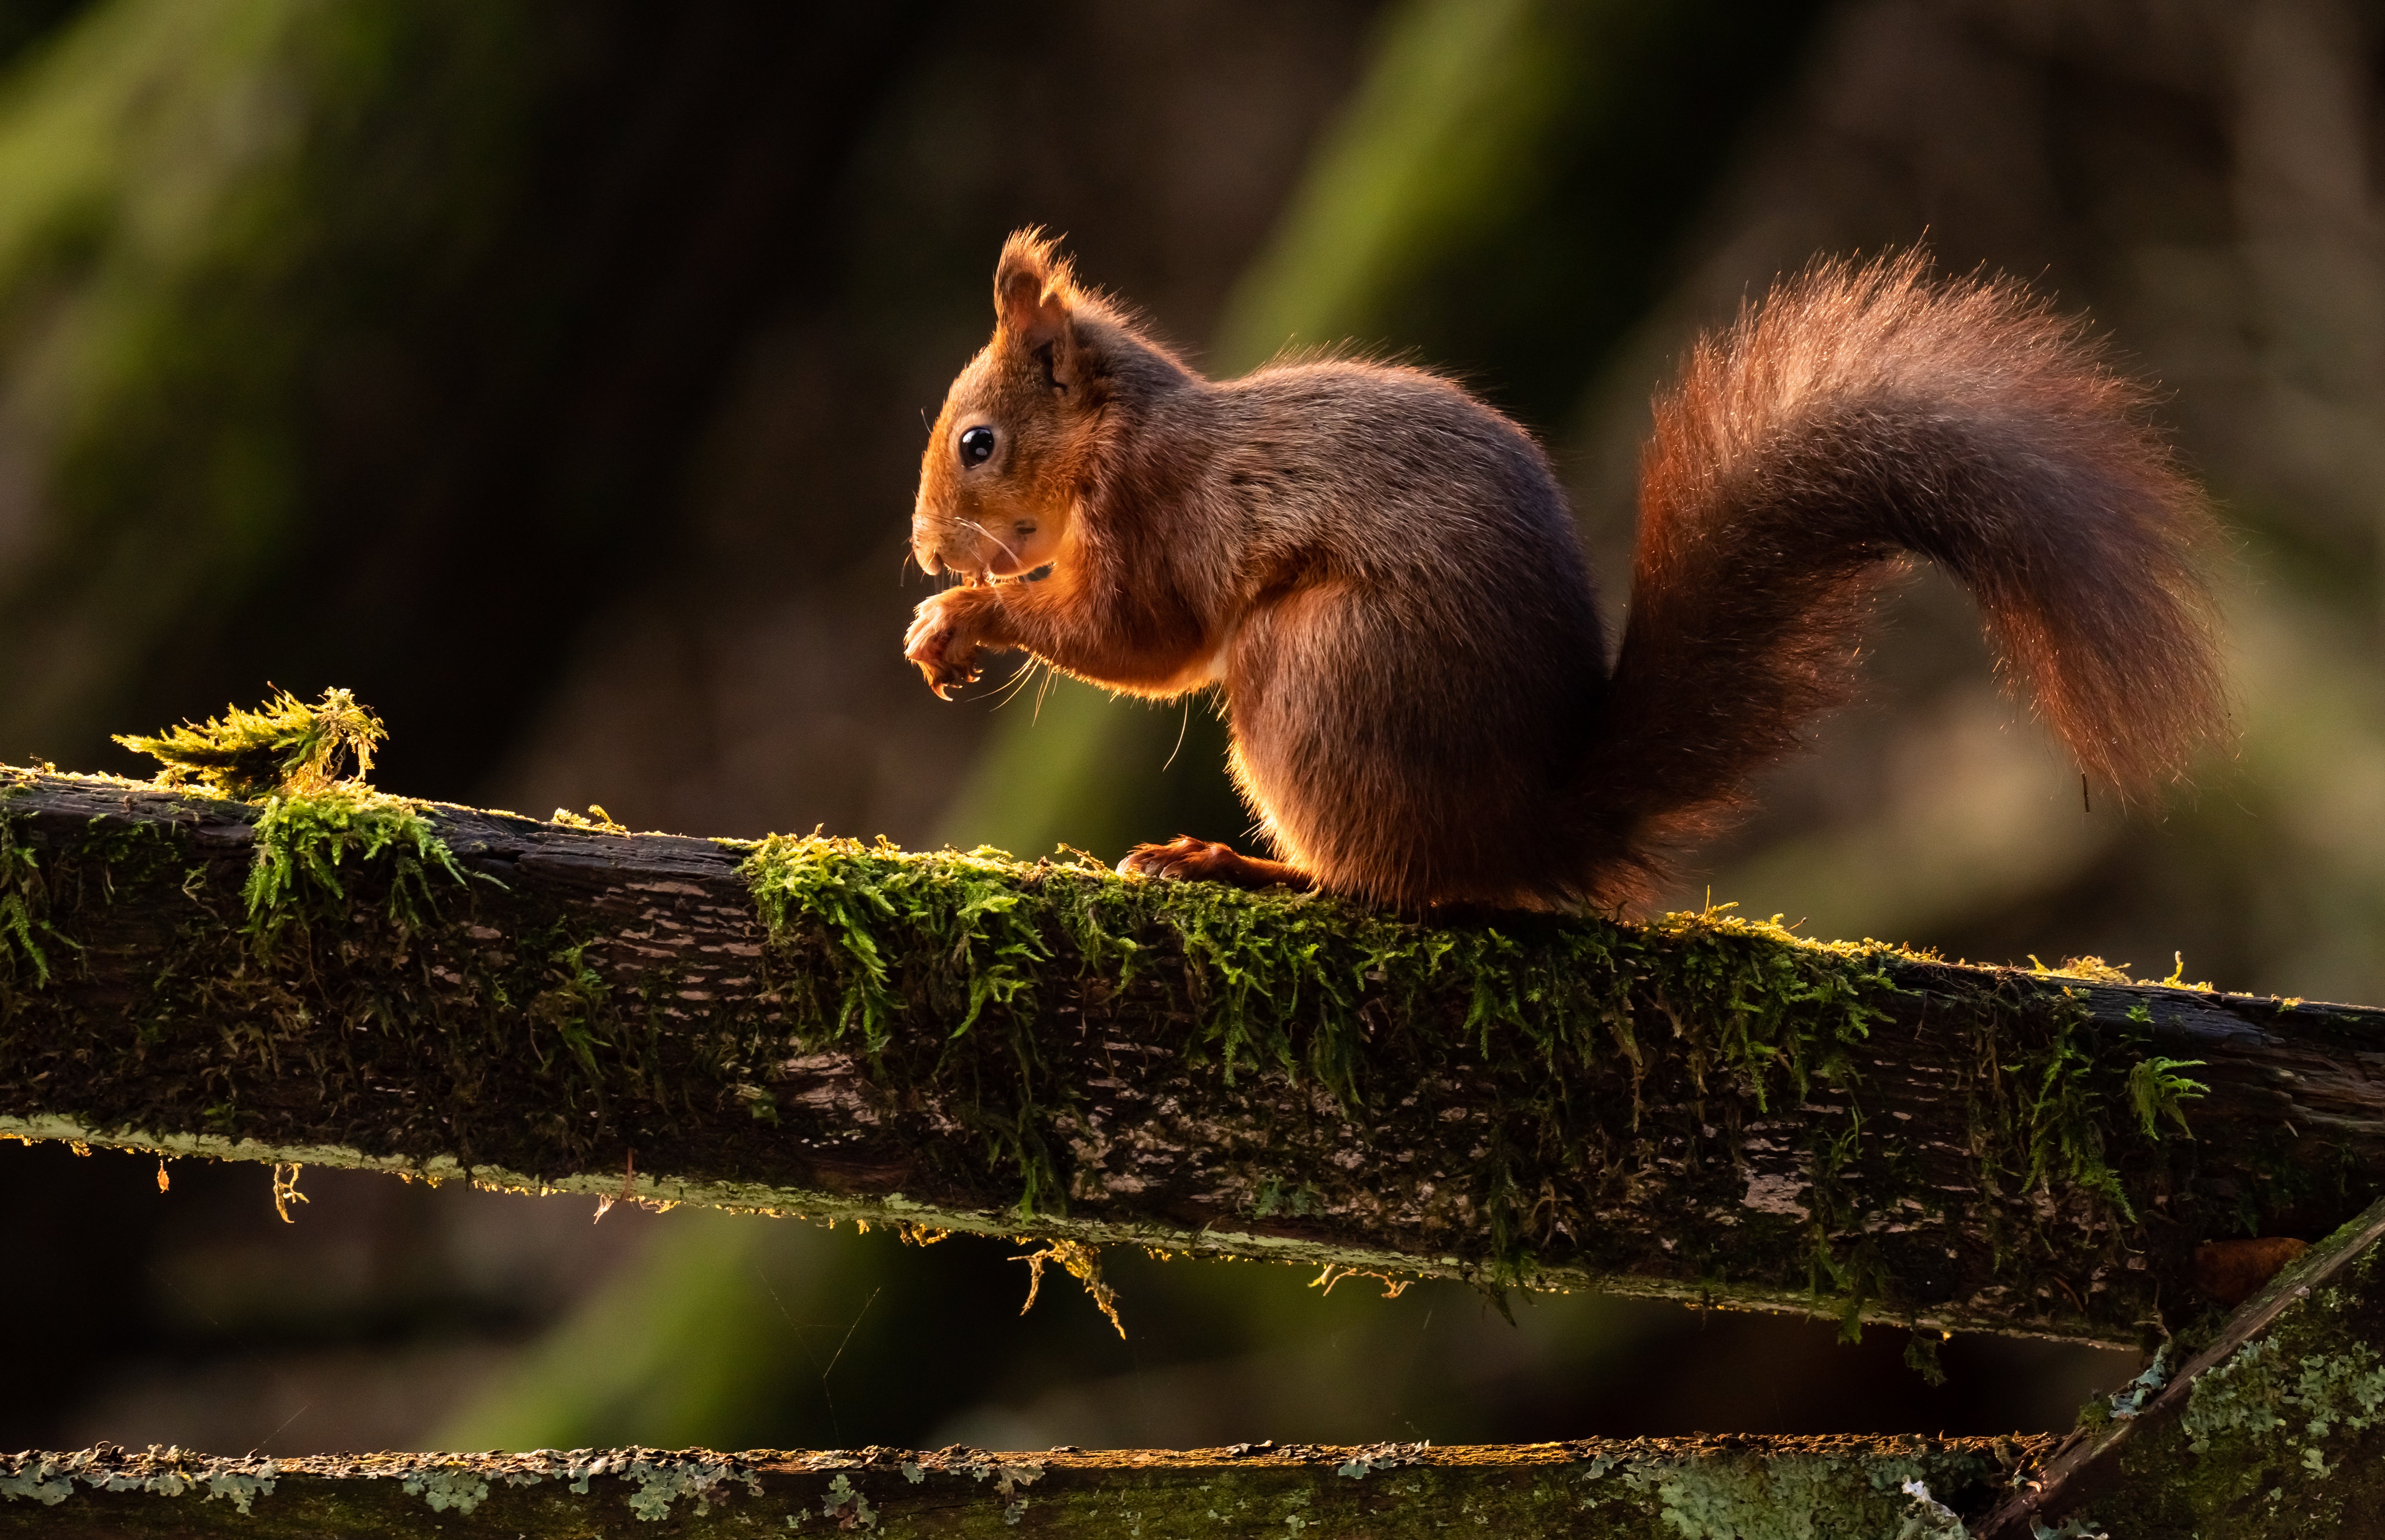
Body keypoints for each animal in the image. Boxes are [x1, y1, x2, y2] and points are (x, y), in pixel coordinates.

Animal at [901, 229, 2222, 915]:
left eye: (979, 444)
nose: (921, 546)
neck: (1111, 436)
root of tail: (1527, 823)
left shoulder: (1153, 517)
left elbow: (1138, 641)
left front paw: (961, 616)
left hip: (1318, 672)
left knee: (1390, 884)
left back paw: (1235, 863)